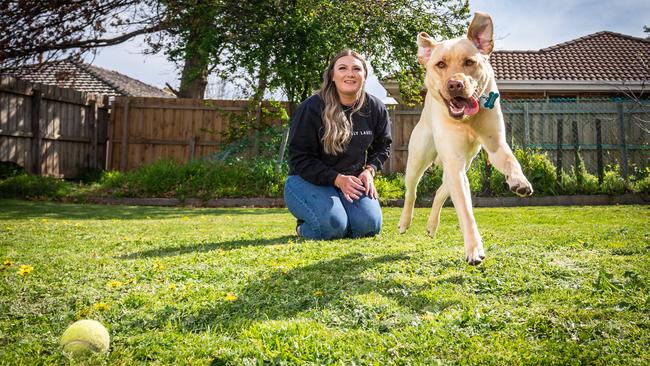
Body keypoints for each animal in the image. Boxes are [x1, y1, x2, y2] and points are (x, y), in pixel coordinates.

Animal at [394, 11, 532, 264]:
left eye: (469, 62)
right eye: (440, 64)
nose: (455, 84)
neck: (468, 120)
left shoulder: (495, 146)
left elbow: (510, 161)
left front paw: (519, 181)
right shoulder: (454, 160)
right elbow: (466, 212)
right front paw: (474, 249)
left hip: (463, 164)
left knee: (440, 192)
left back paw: (432, 226)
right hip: (419, 159)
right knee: (412, 191)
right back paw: (404, 222)